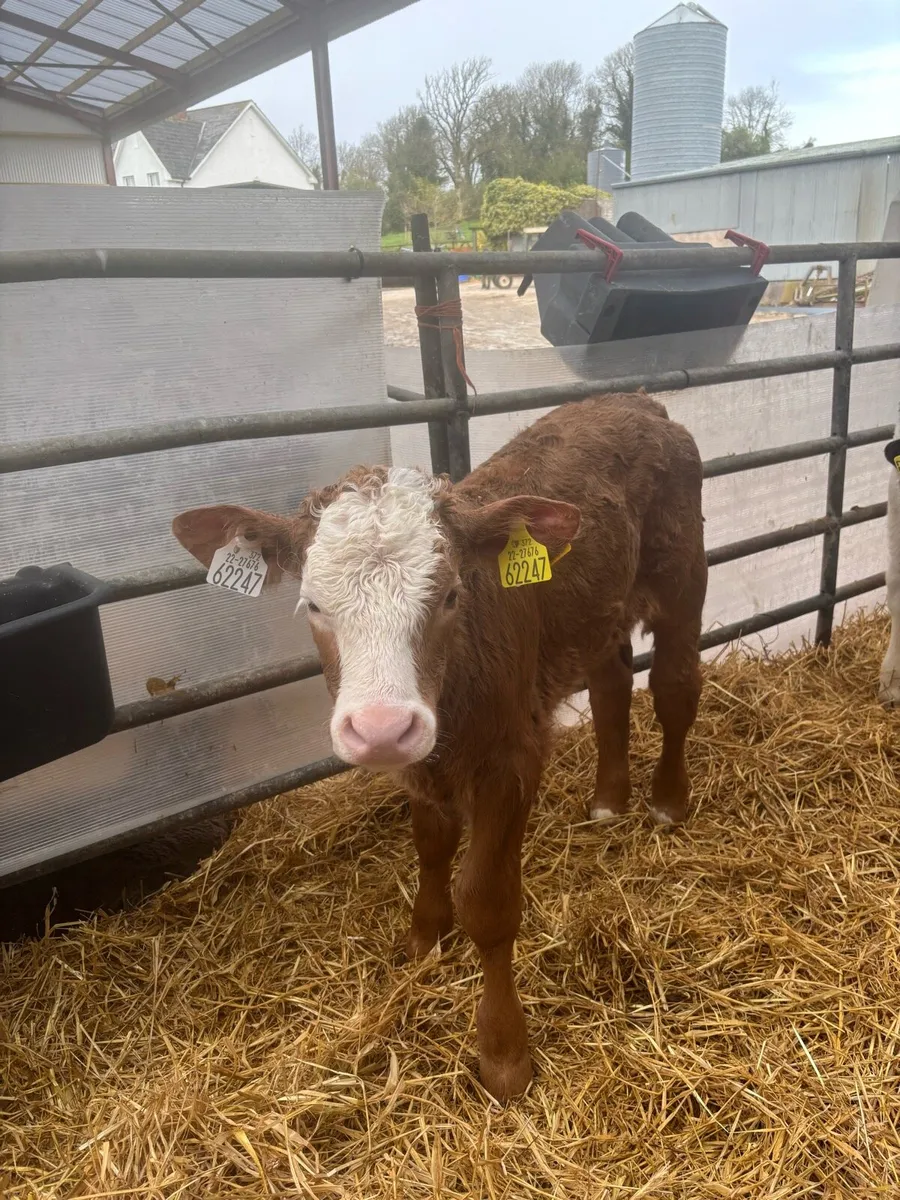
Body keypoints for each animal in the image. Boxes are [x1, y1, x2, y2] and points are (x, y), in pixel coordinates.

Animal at [172, 392, 708, 1100]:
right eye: (312, 604)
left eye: (453, 593)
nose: (379, 726)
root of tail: (636, 401)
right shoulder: (419, 761)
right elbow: (429, 842)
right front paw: (423, 940)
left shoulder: (511, 761)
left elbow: (489, 903)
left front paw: (504, 1054)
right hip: (598, 609)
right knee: (611, 683)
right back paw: (607, 800)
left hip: (684, 574)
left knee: (674, 685)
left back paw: (667, 801)